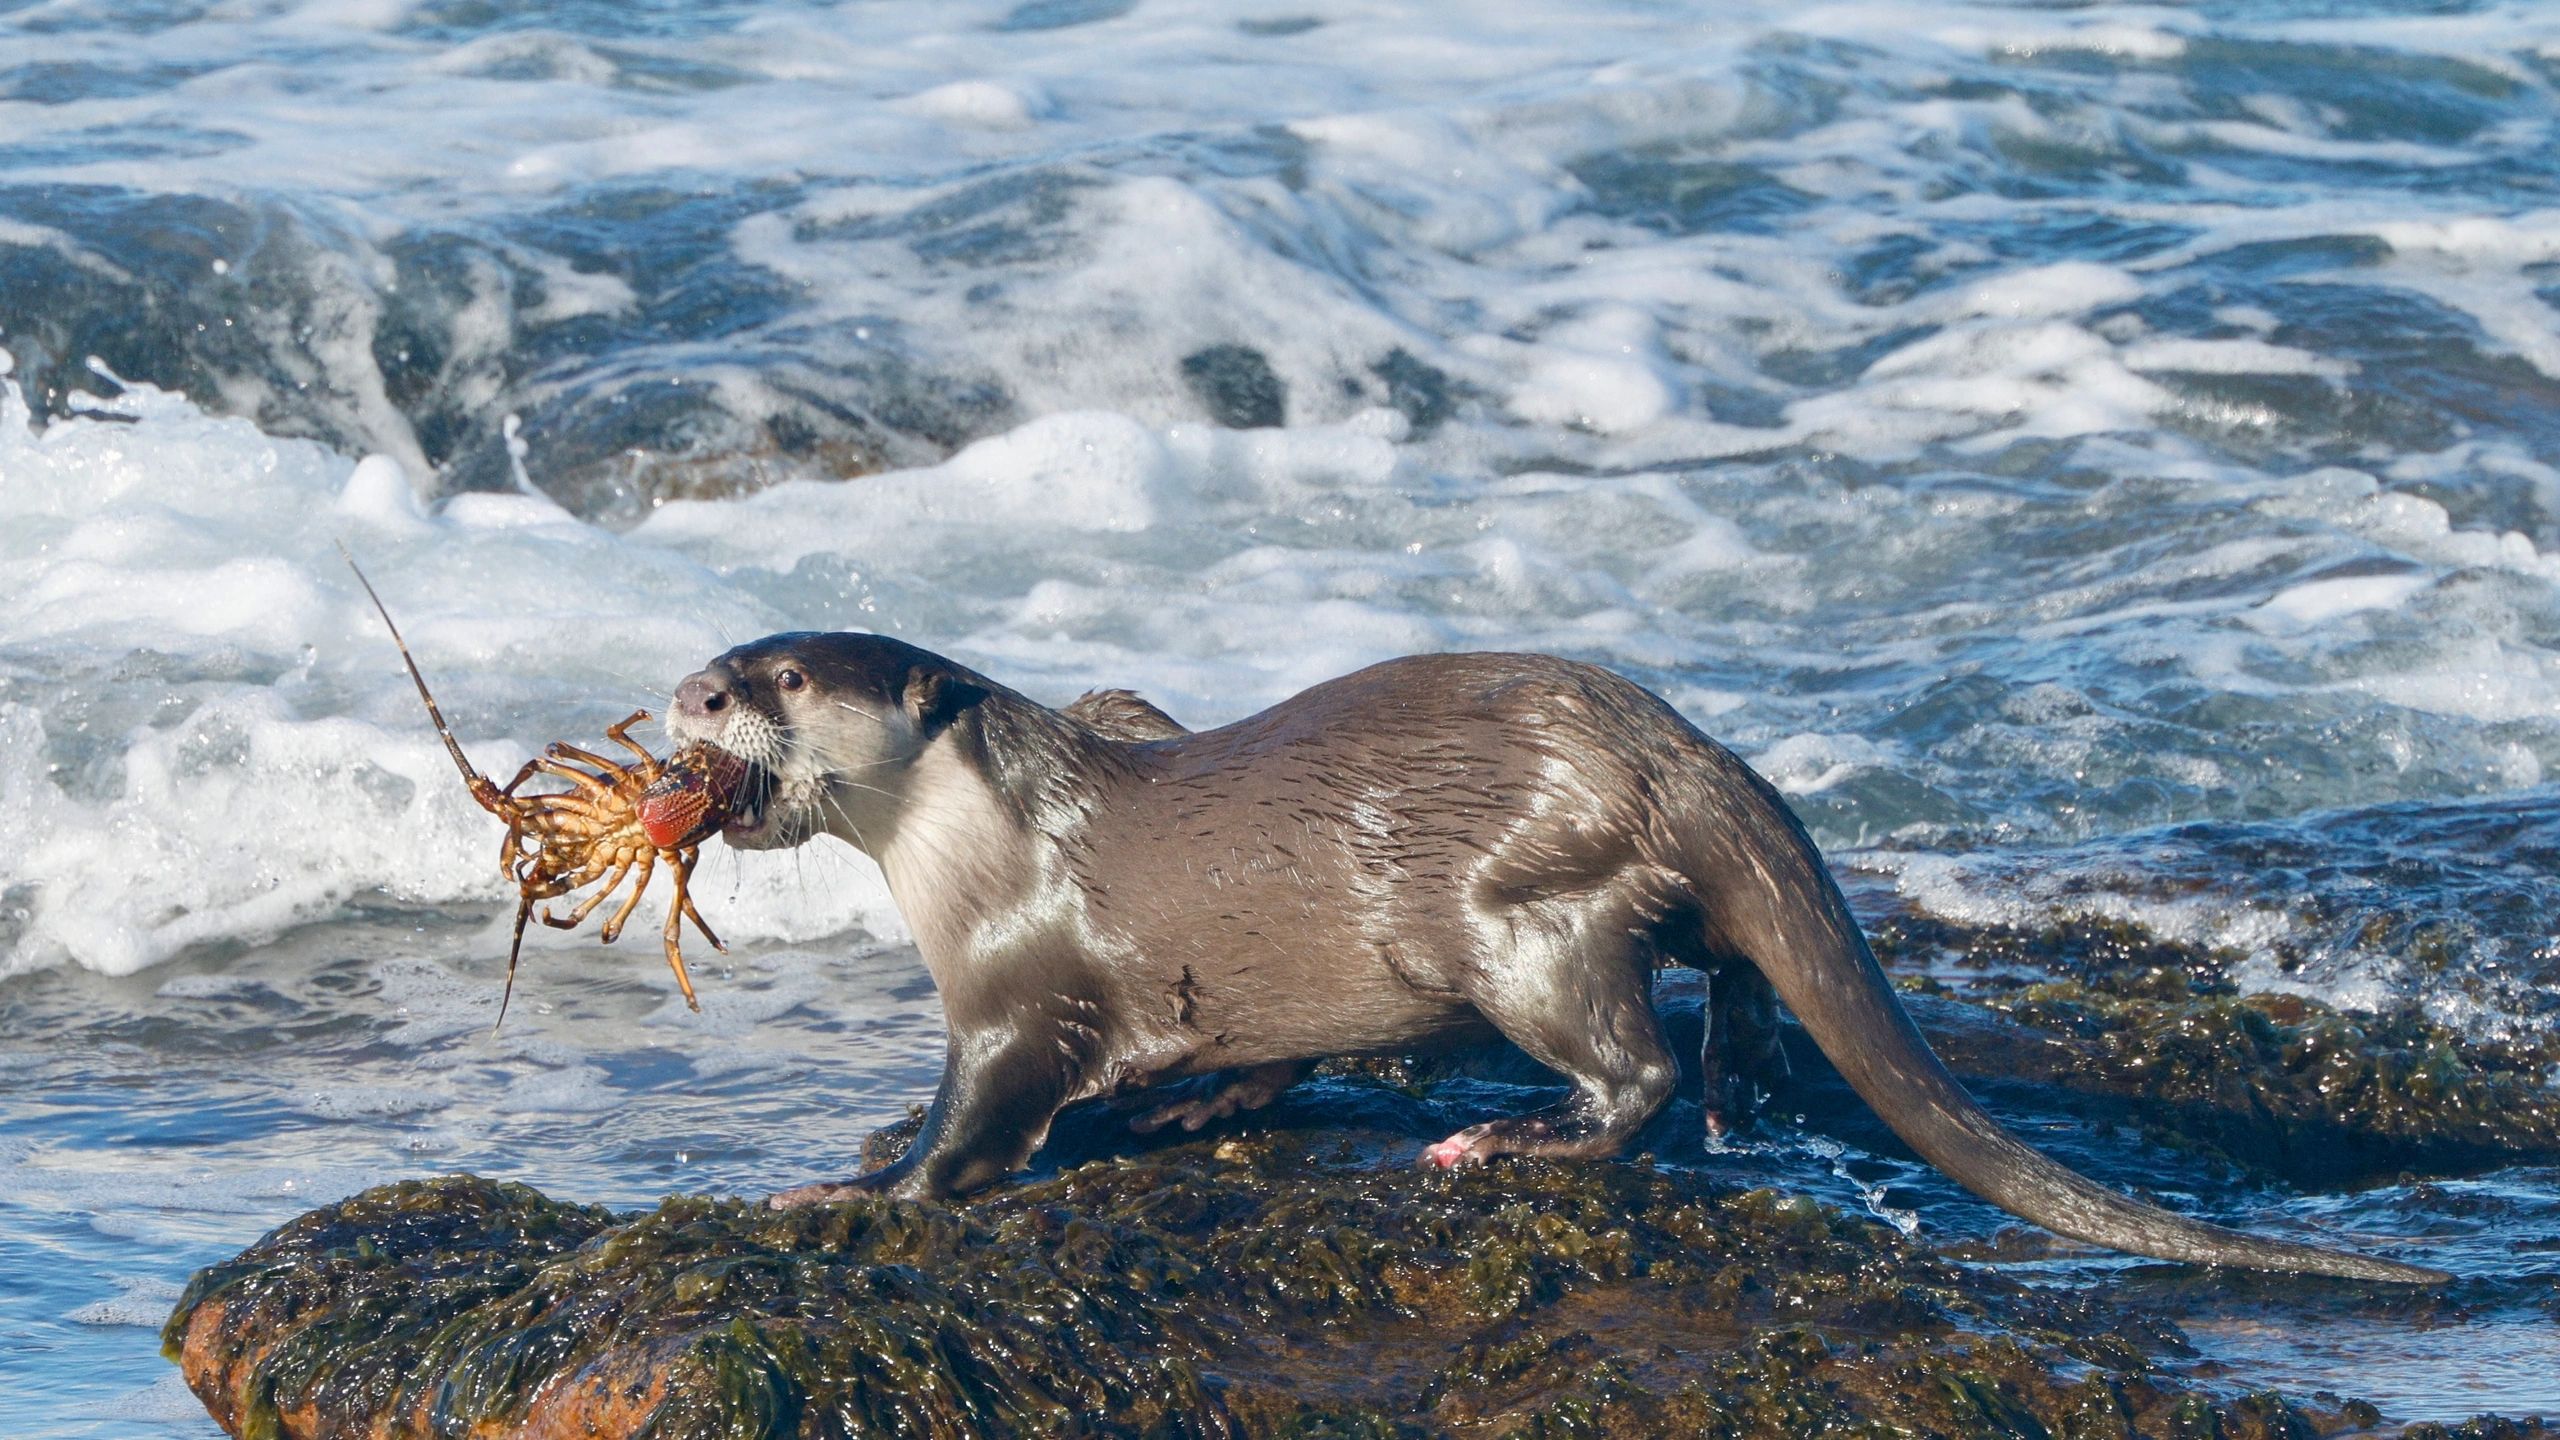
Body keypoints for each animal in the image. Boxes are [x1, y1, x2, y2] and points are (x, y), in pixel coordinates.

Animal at [666, 633, 2445, 1284]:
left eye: (781, 674)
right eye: (723, 659)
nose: (690, 693)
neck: (991, 853)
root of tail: (1681, 757)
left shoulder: (1018, 991)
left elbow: (970, 1133)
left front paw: (843, 1190)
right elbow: (1250, 1061)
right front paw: (1187, 1107)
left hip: (1514, 911)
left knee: (1627, 1066)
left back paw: (1509, 1140)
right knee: (1726, 981)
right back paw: (1745, 1074)